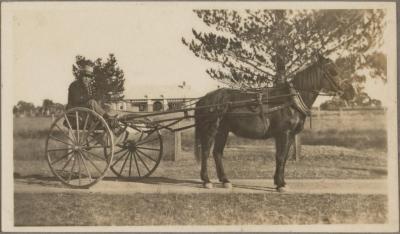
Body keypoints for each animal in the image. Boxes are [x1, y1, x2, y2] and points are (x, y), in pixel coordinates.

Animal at [193, 55, 354, 191]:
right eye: (333, 72)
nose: (351, 91)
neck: (289, 100)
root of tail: (203, 100)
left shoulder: (289, 136)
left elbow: (283, 157)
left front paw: (279, 181)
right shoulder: (284, 134)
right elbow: (281, 157)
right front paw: (281, 184)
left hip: (223, 130)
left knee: (217, 153)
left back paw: (225, 180)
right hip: (210, 130)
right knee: (206, 152)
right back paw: (207, 181)